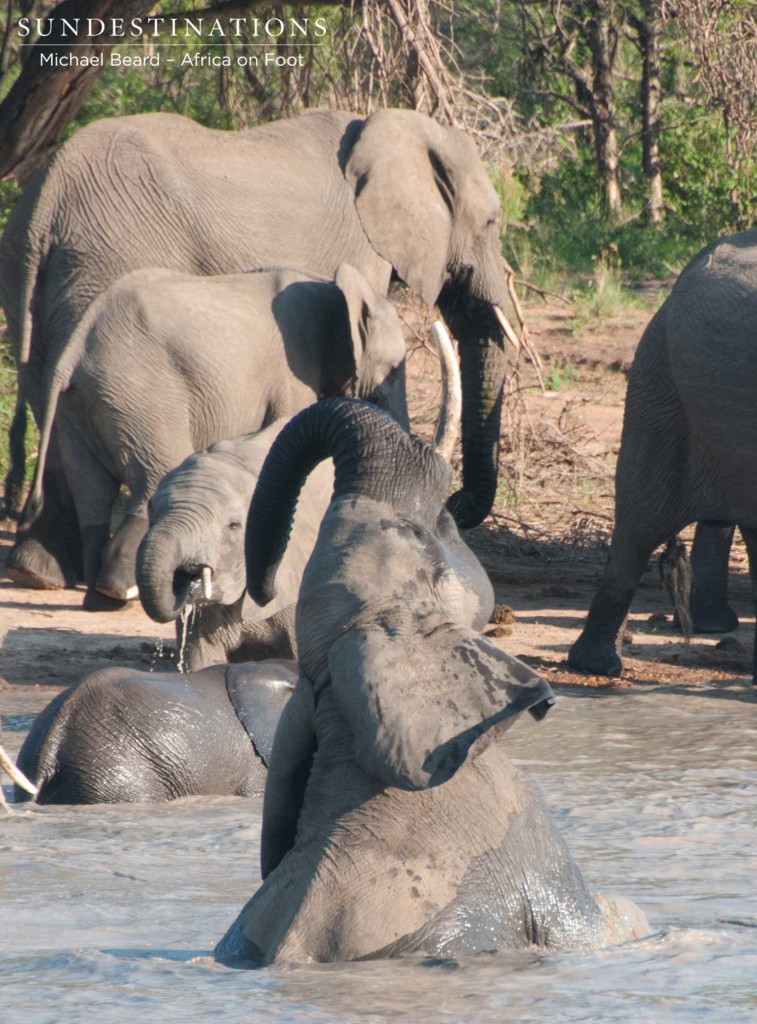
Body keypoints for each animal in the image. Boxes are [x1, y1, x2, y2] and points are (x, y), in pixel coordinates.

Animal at [19, 262, 407, 606]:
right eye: (392, 369)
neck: (333, 287)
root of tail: (74, 348)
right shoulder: (295, 367)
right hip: (140, 395)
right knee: (154, 475)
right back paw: (120, 592)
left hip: (82, 404)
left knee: (93, 497)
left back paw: (101, 600)